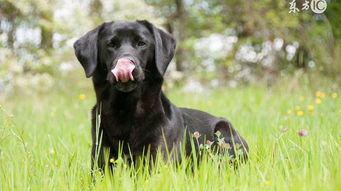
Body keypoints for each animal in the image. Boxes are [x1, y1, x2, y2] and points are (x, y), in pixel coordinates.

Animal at [73, 20, 247, 171]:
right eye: (111, 44)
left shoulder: (158, 158)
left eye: (141, 43)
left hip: (224, 131)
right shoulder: (101, 159)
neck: (125, 109)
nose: (126, 63)